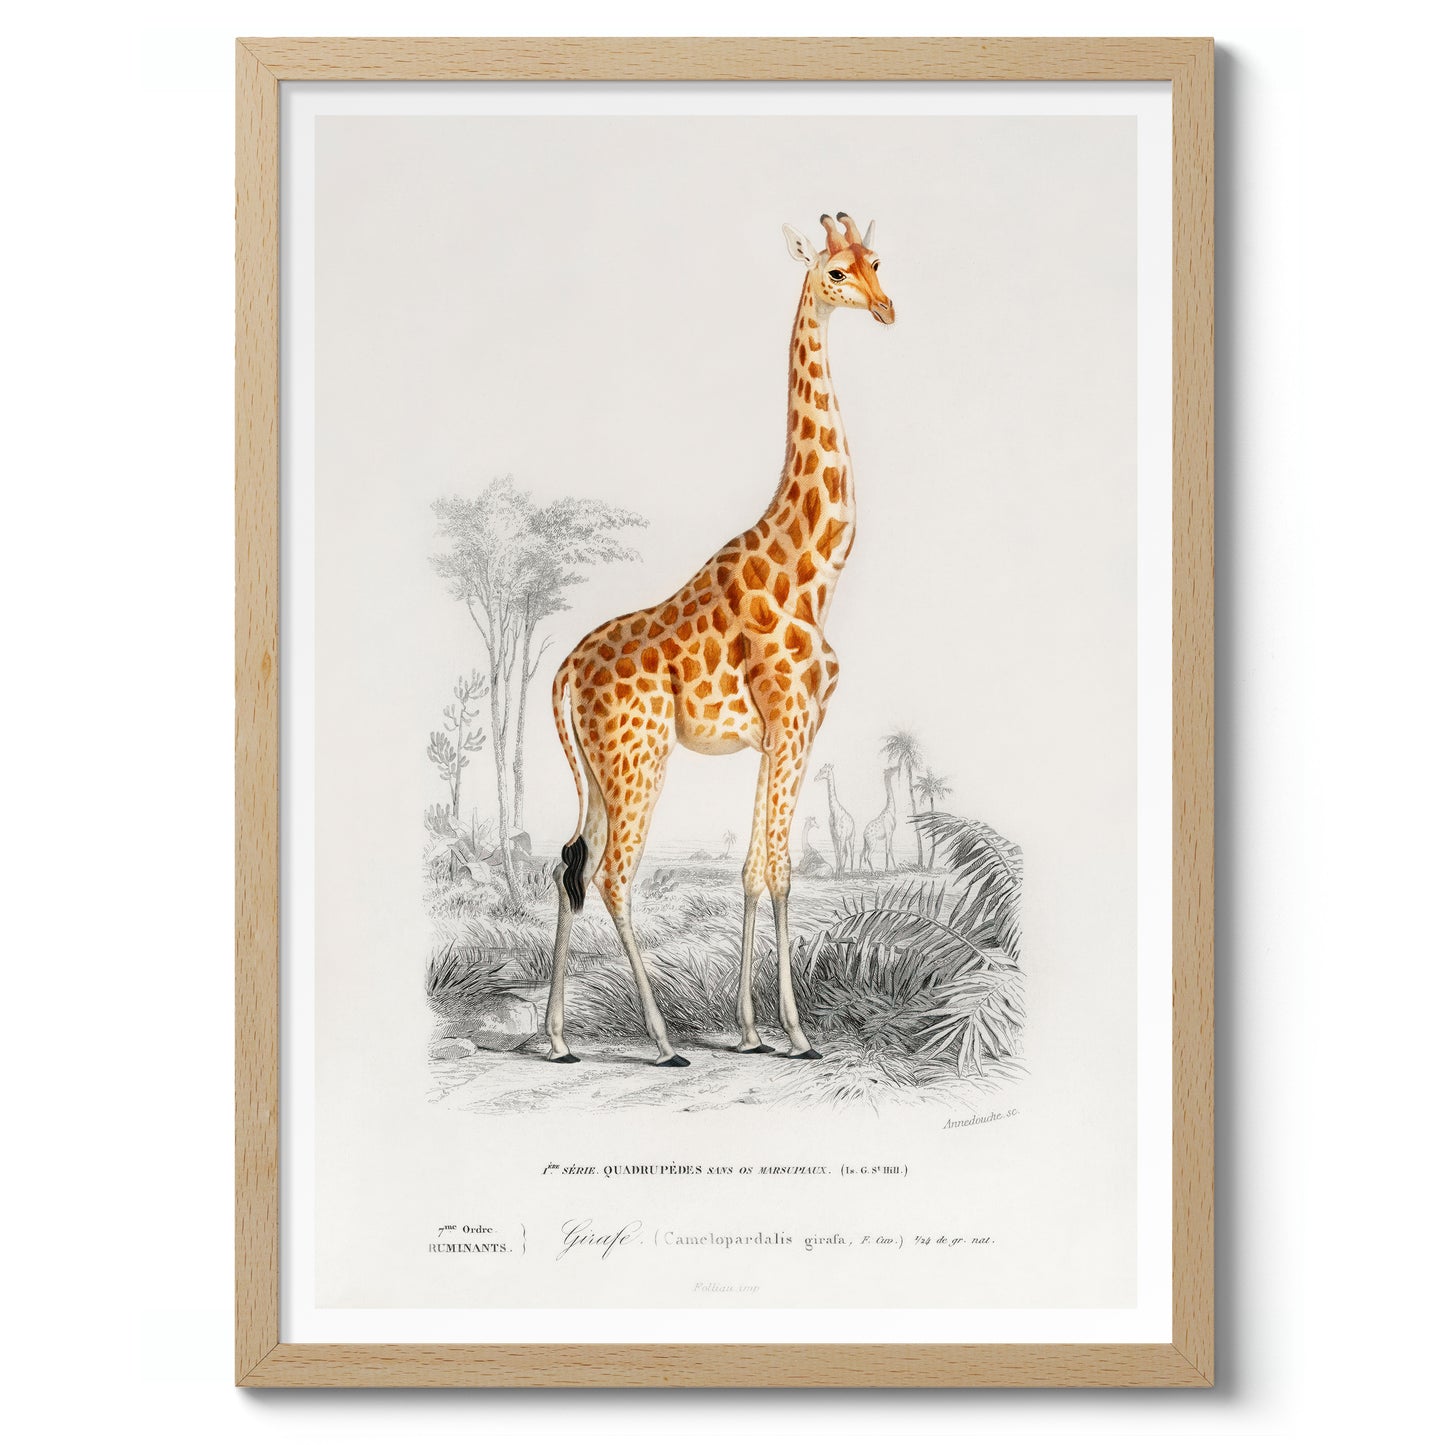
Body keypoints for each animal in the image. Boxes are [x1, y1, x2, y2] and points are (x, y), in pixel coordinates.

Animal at [543, 211, 894, 1066]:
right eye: (834, 272)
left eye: (877, 260)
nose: (885, 308)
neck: (814, 569)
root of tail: (563, 671)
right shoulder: (793, 722)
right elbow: (781, 870)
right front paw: (796, 1033)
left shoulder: (780, 734)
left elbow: (752, 868)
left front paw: (751, 1029)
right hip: (638, 760)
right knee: (612, 876)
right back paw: (663, 1040)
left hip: (600, 771)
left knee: (568, 863)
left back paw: (557, 1039)